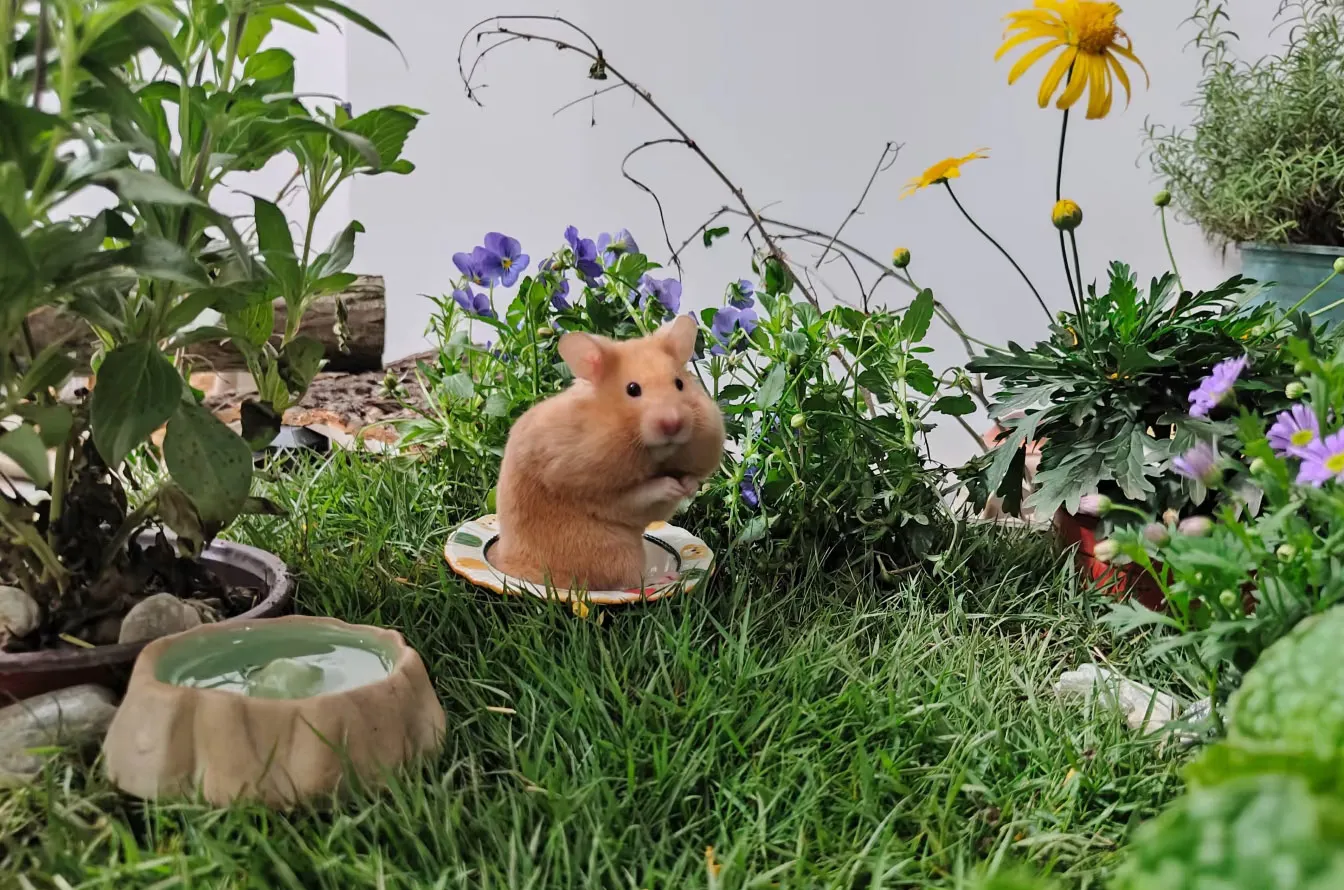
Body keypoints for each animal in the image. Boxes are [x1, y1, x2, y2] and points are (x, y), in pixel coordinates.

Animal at [493, 315, 725, 590]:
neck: (654, 456)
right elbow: (642, 493)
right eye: (633, 389)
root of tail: (506, 565)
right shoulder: (595, 490)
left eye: (679, 384)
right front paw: (671, 485)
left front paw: (688, 485)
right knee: (630, 582)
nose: (673, 424)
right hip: (617, 551)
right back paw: (664, 578)